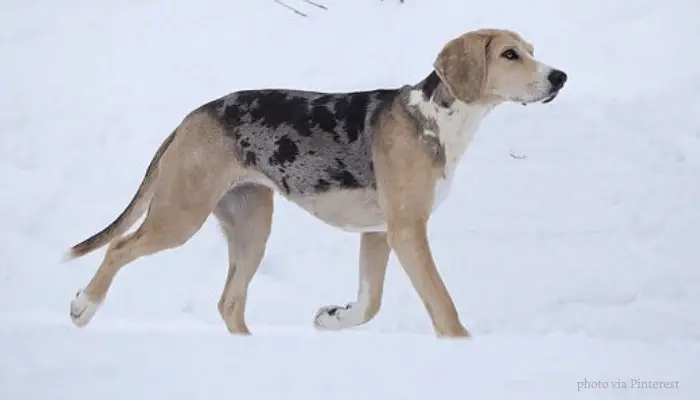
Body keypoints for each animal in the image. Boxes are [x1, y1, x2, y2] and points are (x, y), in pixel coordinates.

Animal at [65, 27, 568, 338]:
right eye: (509, 54)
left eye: (531, 49)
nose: (560, 76)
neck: (438, 118)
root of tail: (191, 117)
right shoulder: (408, 230)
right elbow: (442, 304)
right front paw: (463, 346)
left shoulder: (379, 233)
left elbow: (369, 303)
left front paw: (332, 318)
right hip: (180, 215)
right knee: (119, 249)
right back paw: (84, 305)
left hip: (251, 225)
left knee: (230, 303)